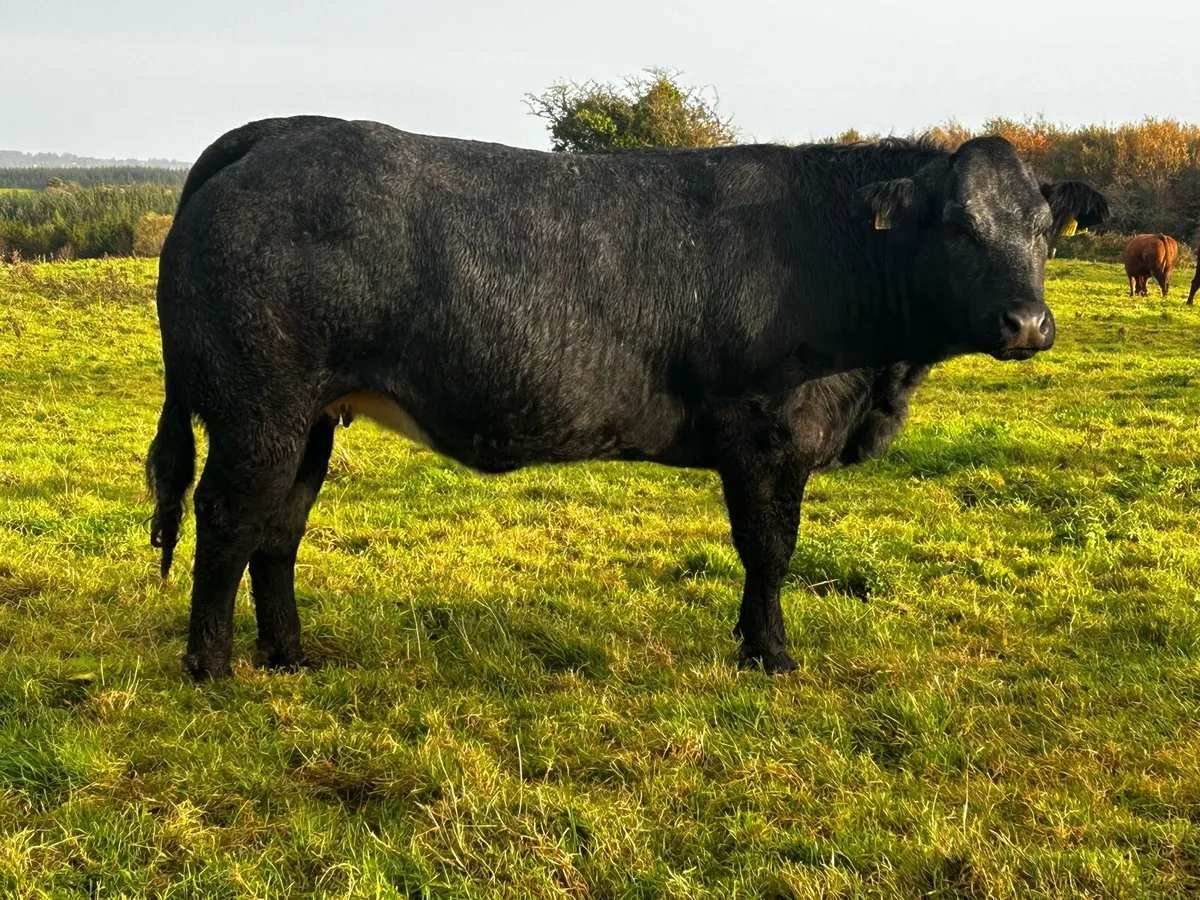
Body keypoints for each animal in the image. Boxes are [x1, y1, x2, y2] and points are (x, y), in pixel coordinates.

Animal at [146, 116, 1109, 680]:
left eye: (1043, 229)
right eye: (959, 224)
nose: (1029, 323)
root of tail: (274, 134)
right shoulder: (769, 434)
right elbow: (770, 551)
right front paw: (773, 656)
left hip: (312, 412)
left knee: (279, 528)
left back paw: (290, 656)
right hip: (258, 404)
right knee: (228, 517)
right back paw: (212, 668)